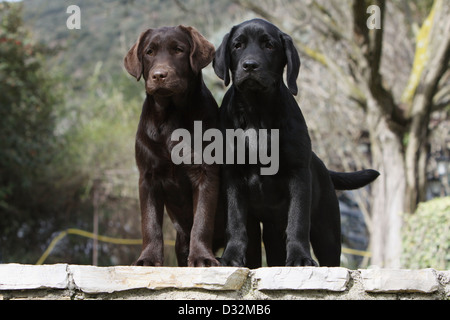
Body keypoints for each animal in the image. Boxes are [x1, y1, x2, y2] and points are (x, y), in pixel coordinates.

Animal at [215, 18, 380, 268]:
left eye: (269, 45)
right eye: (237, 45)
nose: (250, 65)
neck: (257, 113)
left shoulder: (298, 175)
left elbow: (298, 221)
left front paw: (300, 258)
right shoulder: (233, 177)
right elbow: (235, 223)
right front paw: (230, 257)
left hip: (327, 231)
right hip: (268, 230)